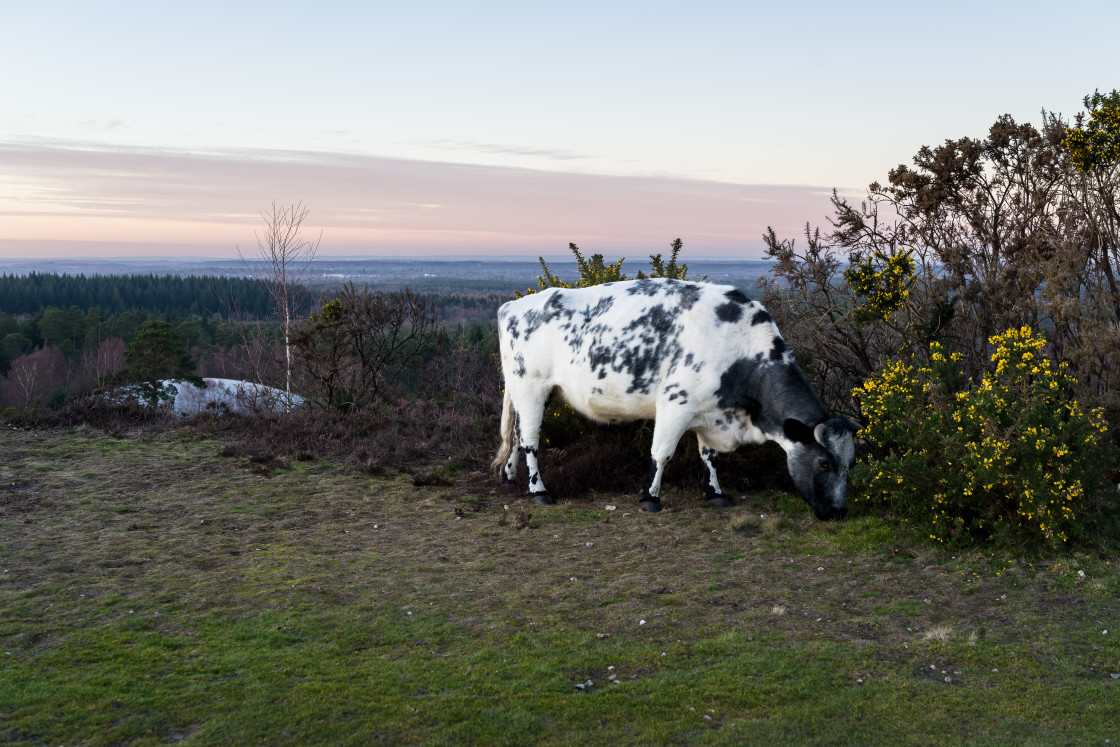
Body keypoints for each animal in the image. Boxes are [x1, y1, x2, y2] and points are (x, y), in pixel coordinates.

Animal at [492, 278, 855, 519]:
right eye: (824, 462)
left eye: (851, 463)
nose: (839, 511)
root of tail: (514, 305)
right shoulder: (675, 404)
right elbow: (662, 454)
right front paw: (650, 498)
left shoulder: (711, 412)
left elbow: (709, 456)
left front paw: (715, 492)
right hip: (531, 387)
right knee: (530, 440)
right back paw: (539, 491)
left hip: (532, 393)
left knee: (516, 433)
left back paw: (510, 478)